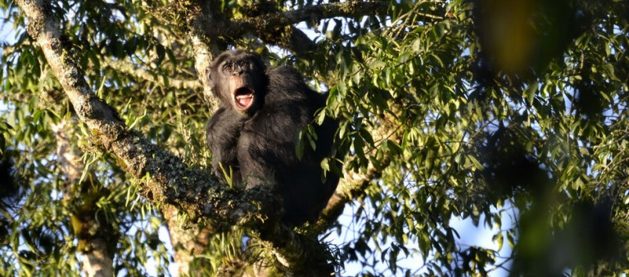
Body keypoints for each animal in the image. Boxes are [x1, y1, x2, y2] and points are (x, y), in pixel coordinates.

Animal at [206, 49, 338, 224]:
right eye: (227, 67)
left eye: (244, 63)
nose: (238, 71)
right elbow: (221, 164)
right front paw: (227, 123)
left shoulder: (283, 77)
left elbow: (289, 121)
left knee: (250, 142)